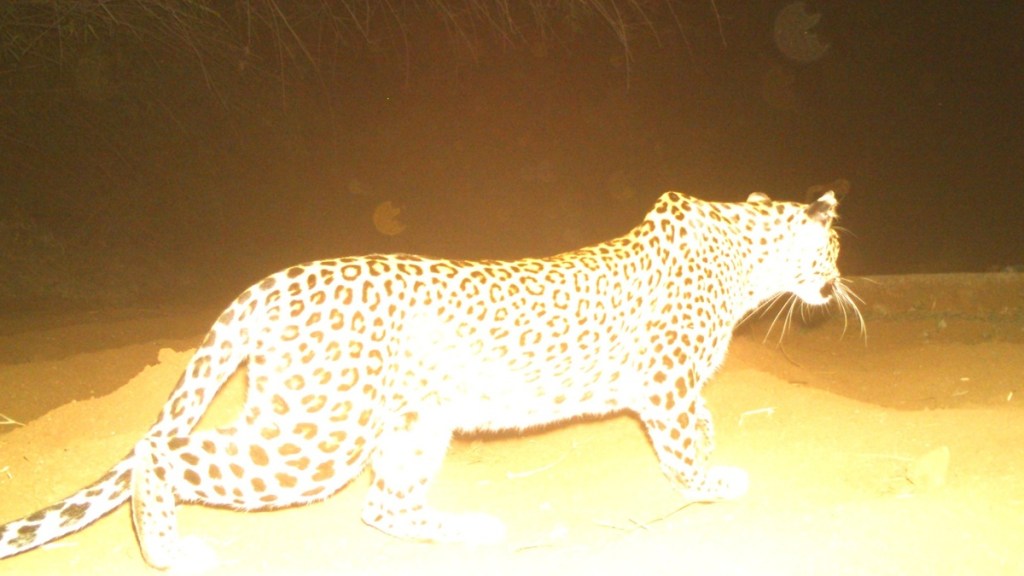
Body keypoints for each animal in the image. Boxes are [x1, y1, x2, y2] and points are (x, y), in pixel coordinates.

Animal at [0, 190, 856, 570]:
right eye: (833, 251)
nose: (838, 283)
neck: (745, 258)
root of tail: (270, 284)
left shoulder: (674, 388)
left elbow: (697, 432)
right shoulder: (668, 382)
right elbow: (687, 443)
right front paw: (711, 483)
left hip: (413, 421)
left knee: (382, 506)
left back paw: (469, 530)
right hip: (317, 436)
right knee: (161, 454)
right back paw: (172, 551)